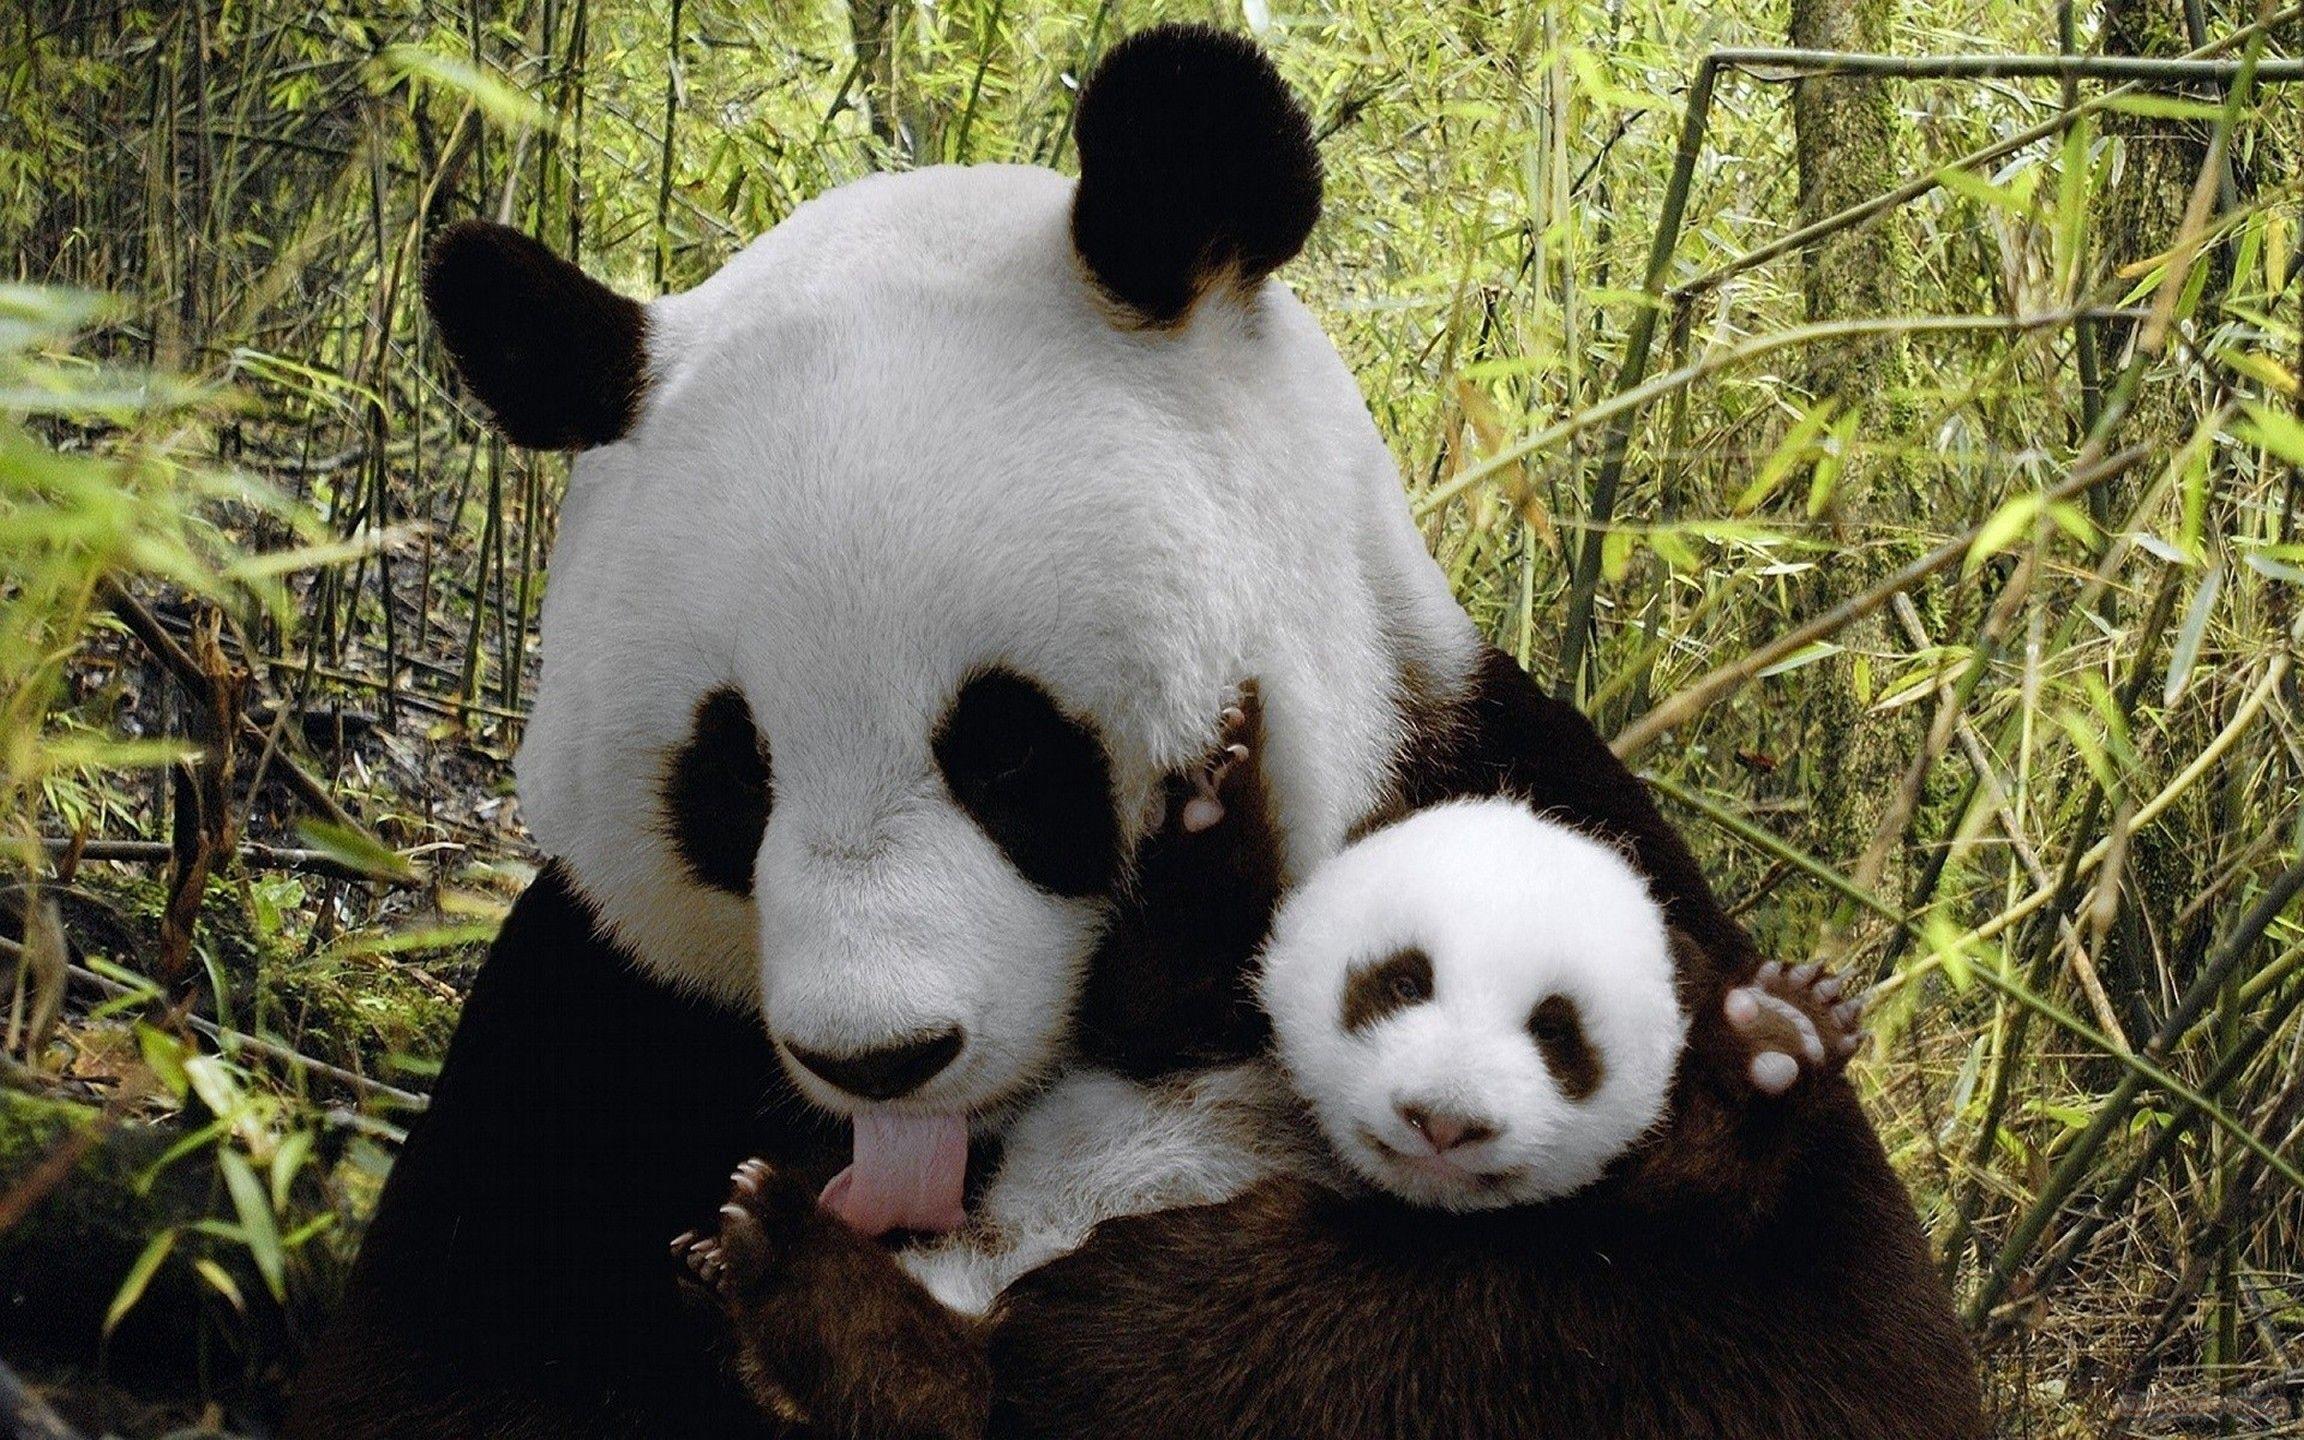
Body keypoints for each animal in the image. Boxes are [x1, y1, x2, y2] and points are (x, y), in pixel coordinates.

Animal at [285, 25, 1978, 1440]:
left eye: (1010, 754)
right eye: (733, 777)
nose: (881, 1061)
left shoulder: (1513, 799)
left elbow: (1782, 1343)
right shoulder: (589, 1023)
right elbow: (441, 1365)